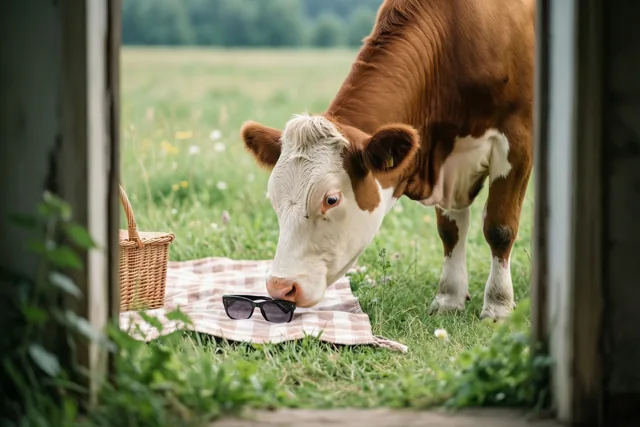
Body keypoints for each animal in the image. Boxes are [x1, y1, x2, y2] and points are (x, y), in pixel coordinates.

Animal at [240, 0, 535, 320]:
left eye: (331, 199)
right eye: (273, 198)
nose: (281, 286)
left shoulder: (517, 141)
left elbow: (499, 227)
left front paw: (498, 306)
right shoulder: (448, 164)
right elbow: (450, 231)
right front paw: (449, 298)